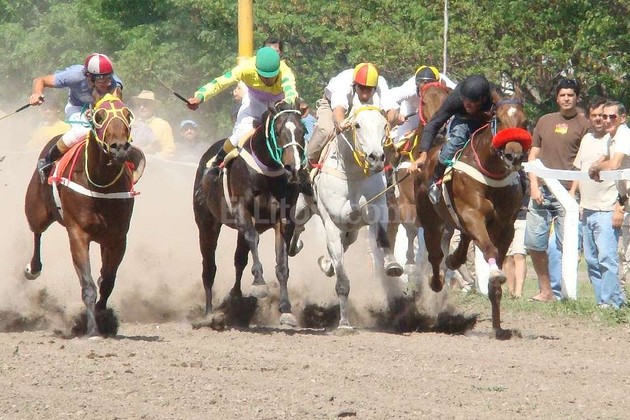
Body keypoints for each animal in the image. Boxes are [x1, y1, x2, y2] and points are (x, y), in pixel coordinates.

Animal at [24, 93, 138, 337]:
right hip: (37, 210)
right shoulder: (77, 234)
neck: (101, 183)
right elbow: (88, 285)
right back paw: (33, 268)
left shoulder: (118, 237)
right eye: (98, 116)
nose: (119, 148)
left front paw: (103, 317)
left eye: (127, 114)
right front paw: (91, 329)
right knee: (37, 232)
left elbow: (107, 281)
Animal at [193, 101, 306, 328]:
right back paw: (209, 314)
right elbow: (253, 239)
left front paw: (286, 310)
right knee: (209, 267)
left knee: (239, 259)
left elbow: (282, 264)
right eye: (278, 132)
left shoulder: (283, 220)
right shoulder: (241, 212)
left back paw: (235, 297)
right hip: (207, 224)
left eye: (303, 132)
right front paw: (259, 284)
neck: (267, 173)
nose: (294, 168)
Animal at [289, 106, 403, 328]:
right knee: (298, 226)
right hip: (302, 208)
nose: (376, 158)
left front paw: (392, 265)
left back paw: (326, 264)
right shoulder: (332, 224)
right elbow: (342, 280)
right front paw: (343, 323)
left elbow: (383, 237)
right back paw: (295, 247)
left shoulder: (377, 209)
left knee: (344, 245)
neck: (353, 174)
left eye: (384, 125)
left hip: (353, 231)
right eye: (357, 125)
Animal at [387, 82, 451, 274]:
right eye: (423, 101)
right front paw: (410, 263)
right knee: (393, 227)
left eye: (446, 99)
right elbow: (411, 229)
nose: (440, 130)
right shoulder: (406, 203)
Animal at [414, 88, 531, 340]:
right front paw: (495, 273)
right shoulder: (471, 214)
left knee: (461, 243)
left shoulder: (505, 226)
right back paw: (437, 281)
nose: (514, 157)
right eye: (499, 119)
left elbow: (495, 260)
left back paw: (454, 259)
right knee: (435, 255)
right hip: (430, 220)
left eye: (524, 121)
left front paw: (498, 327)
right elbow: (489, 249)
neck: (491, 173)